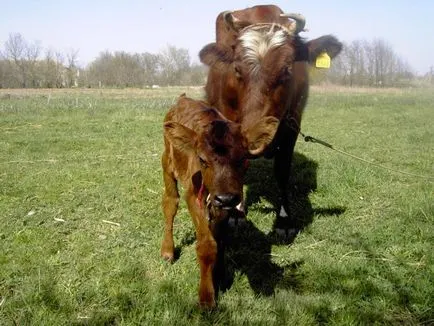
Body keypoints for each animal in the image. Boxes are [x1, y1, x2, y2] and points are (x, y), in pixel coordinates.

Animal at [161, 94, 276, 308]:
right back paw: (167, 250)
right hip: (167, 163)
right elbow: (207, 245)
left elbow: (221, 240)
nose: (225, 198)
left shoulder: (225, 203)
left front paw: (221, 276)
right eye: (202, 160)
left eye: (243, 159)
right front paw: (207, 297)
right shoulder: (194, 197)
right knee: (170, 202)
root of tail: (183, 98)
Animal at [200, 10, 342, 234]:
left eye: (287, 69)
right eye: (237, 69)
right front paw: (236, 214)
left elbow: (282, 171)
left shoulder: (292, 125)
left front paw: (284, 220)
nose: (255, 138)